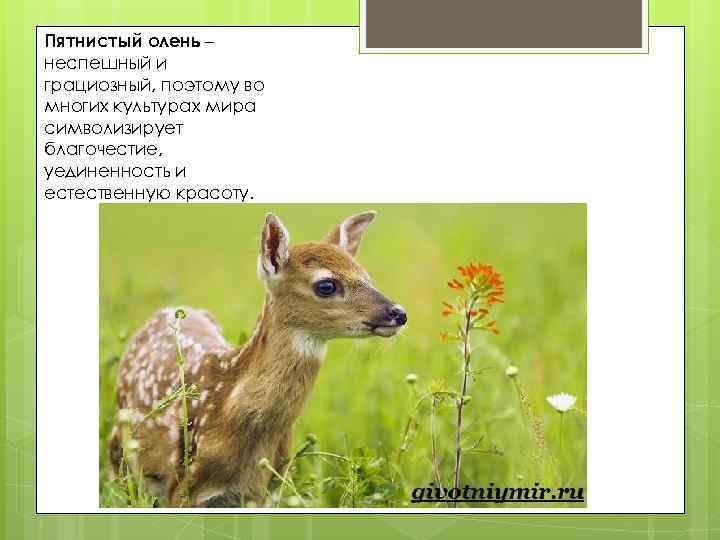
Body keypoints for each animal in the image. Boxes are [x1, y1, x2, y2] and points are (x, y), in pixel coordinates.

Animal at [108, 211, 407, 507]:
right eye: (326, 285)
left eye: (366, 276)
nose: (398, 313)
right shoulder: (182, 487)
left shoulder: (266, 490)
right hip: (119, 456)